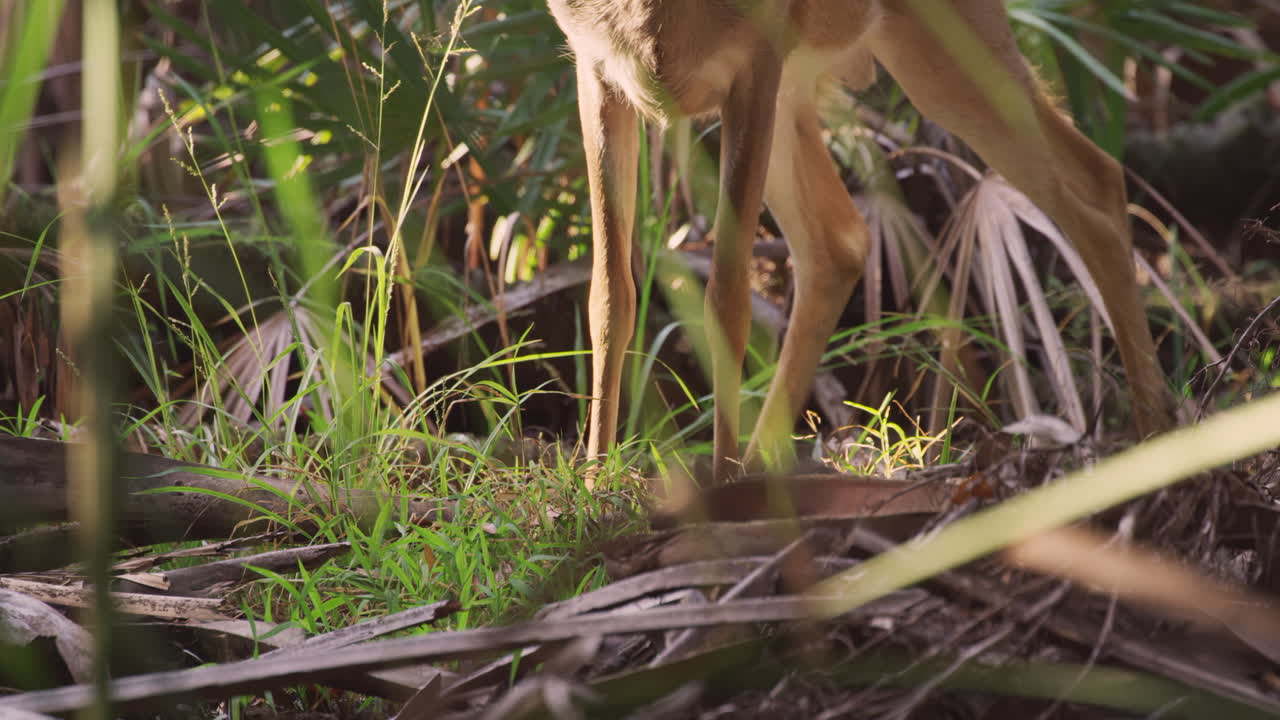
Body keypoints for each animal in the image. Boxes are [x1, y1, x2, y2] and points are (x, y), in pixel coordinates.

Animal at [547, 0, 1174, 486]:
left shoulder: (757, 53)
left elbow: (726, 298)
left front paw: (720, 485)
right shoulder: (594, 63)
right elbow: (610, 294)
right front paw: (594, 483)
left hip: (942, 42)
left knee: (1095, 180)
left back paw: (1157, 439)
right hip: (810, 79)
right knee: (838, 240)